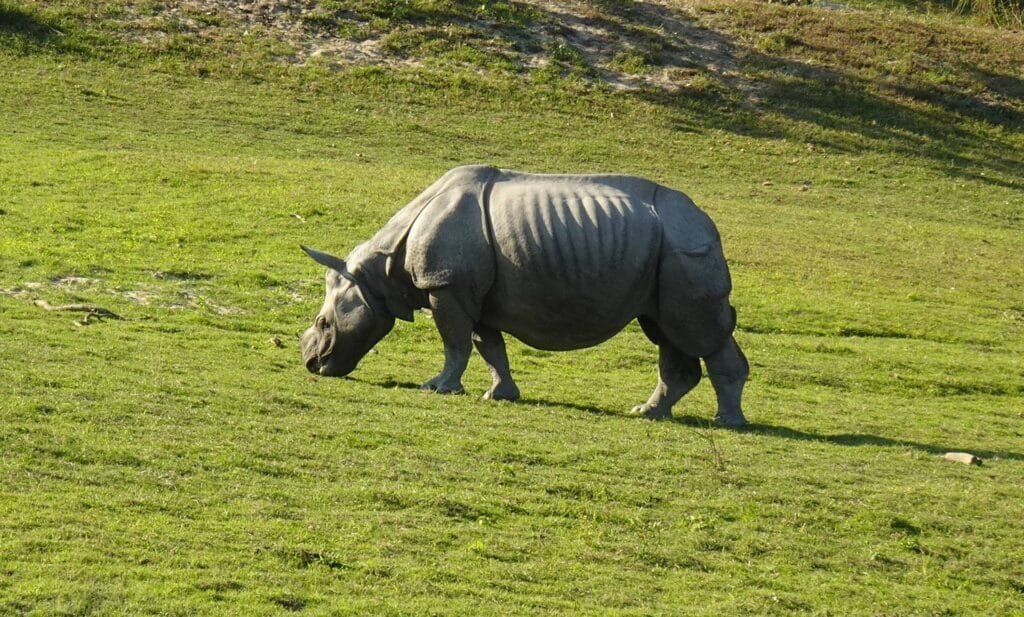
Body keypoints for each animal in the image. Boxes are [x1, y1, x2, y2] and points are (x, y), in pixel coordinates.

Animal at [300, 165, 748, 425]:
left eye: (324, 323)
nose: (311, 365)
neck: (378, 272)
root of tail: (706, 220)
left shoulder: (447, 285)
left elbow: (455, 342)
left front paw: (438, 388)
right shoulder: (471, 295)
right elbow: (487, 346)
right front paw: (499, 395)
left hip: (684, 249)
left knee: (697, 332)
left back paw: (725, 422)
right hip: (666, 257)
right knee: (667, 332)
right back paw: (648, 414)